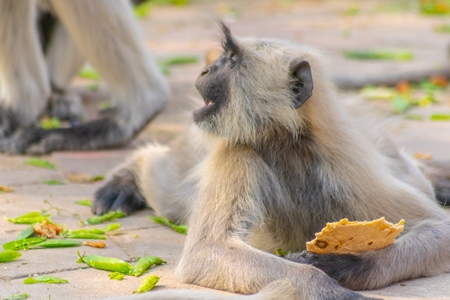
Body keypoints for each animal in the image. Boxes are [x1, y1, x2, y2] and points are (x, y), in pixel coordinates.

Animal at [90, 22, 450, 298]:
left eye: (231, 60)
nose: (205, 69)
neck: (283, 143)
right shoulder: (236, 151)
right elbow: (207, 253)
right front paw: (326, 286)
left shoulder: (345, 161)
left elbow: (440, 228)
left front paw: (346, 264)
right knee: (166, 187)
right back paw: (130, 175)